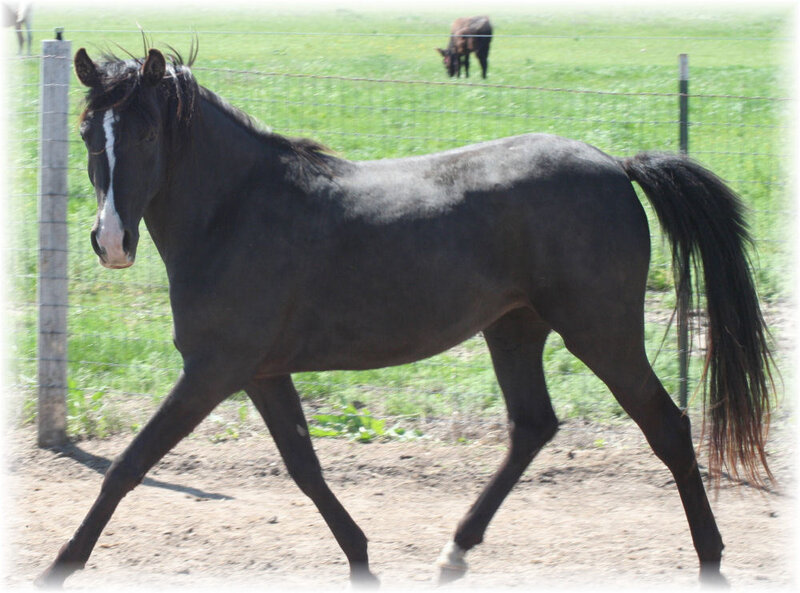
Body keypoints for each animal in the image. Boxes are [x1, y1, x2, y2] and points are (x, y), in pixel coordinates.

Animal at [37, 47, 774, 588]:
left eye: (148, 131)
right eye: (87, 132)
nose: (110, 241)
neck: (236, 210)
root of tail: (616, 166)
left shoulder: (212, 371)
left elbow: (128, 465)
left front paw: (59, 564)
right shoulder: (263, 372)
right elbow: (305, 468)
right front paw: (363, 558)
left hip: (601, 331)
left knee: (668, 427)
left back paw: (711, 560)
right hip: (514, 328)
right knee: (534, 425)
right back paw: (454, 552)